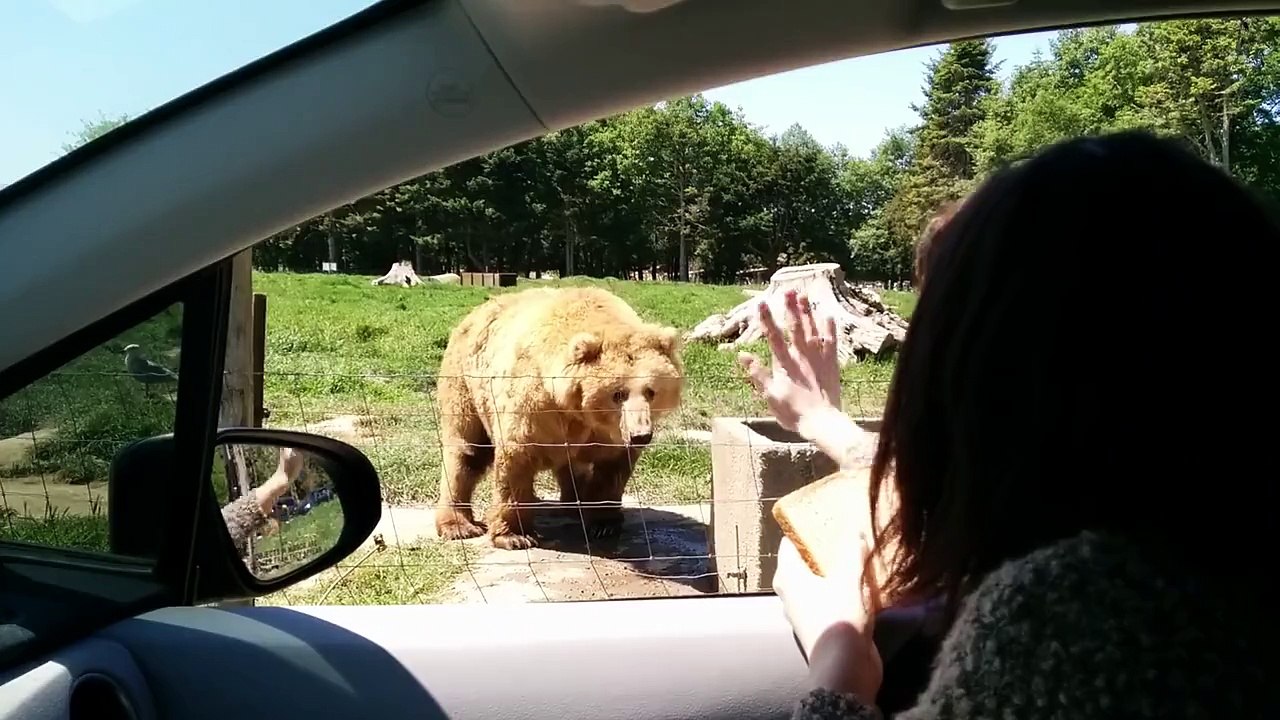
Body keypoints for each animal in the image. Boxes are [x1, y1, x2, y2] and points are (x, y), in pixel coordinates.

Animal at [433, 286, 685, 550]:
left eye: (651, 391)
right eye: (618, 394)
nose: (641, 435)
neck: (578, 409)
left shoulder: (606, 433)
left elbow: (612, 469)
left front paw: (604, 523)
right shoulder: (534, 408)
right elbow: (515, 459)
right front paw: (515, 535)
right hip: (465, 385)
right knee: (466, 451)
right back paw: (458, 525)